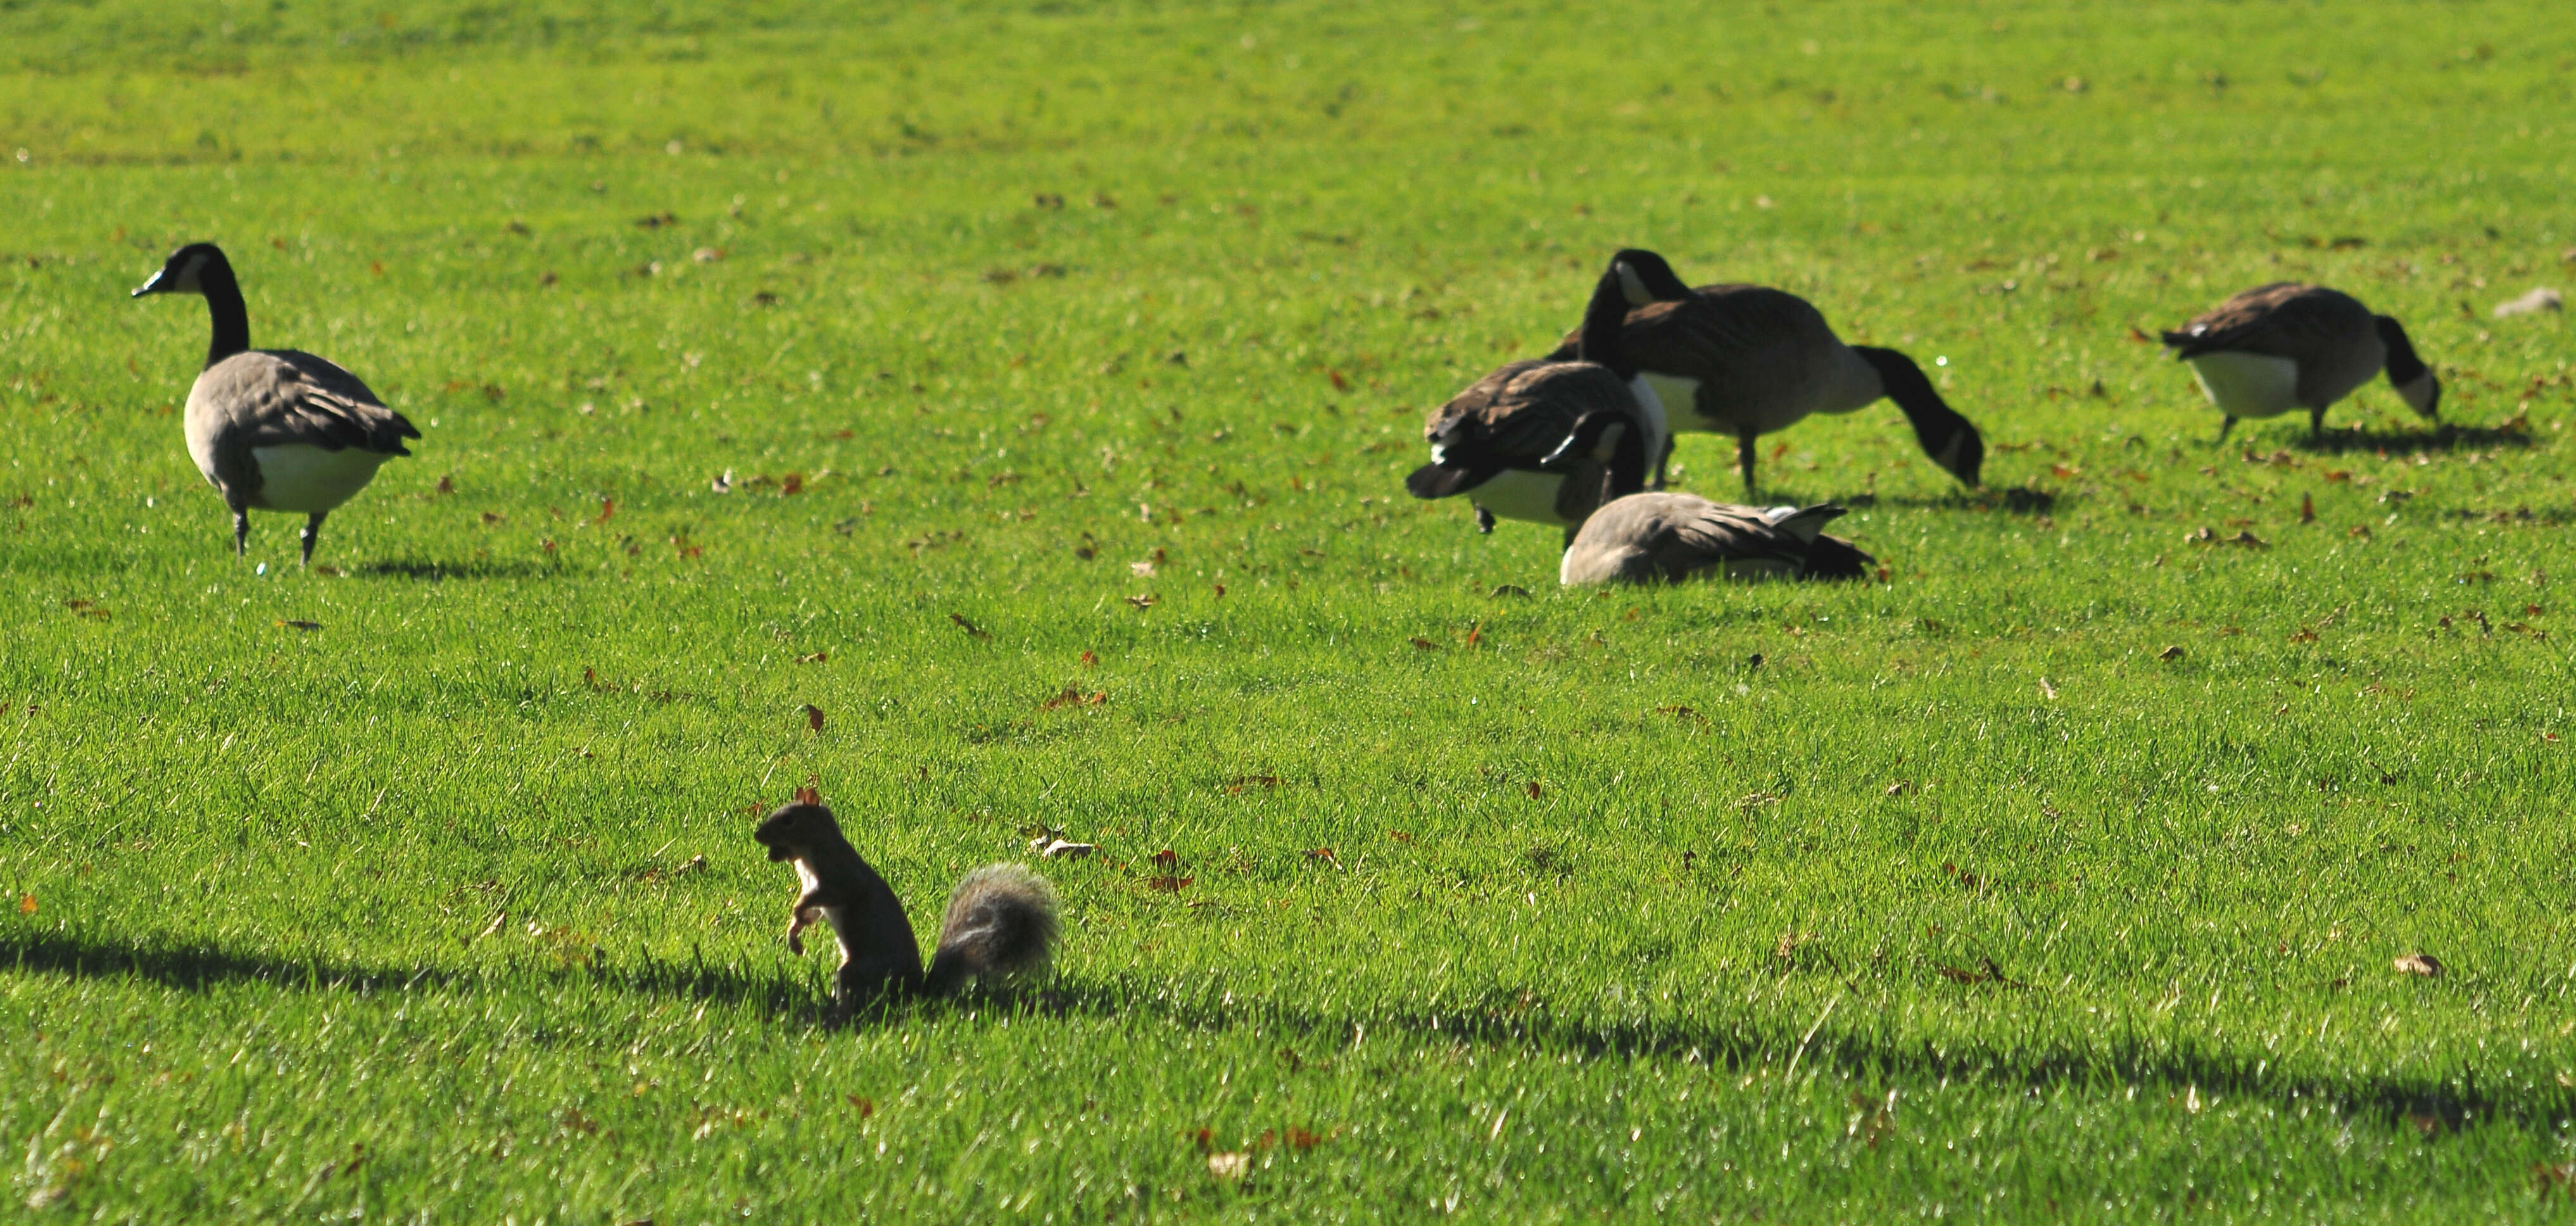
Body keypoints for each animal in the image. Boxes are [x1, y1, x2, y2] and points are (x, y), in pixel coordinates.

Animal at [752, 783, 1061, 1004]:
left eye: (788, 820)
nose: (757, 836)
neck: (808, 856)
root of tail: (917, 990)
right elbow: (812, 913)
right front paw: (794, 934)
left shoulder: (840, 876)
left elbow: (828, 895)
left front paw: (796, 913)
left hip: (864, 970)